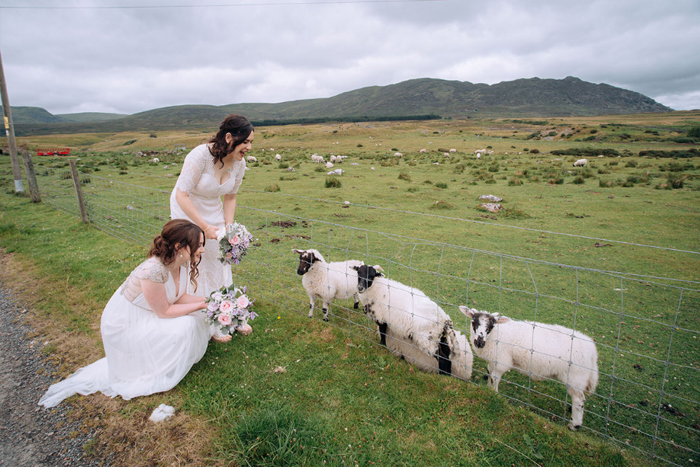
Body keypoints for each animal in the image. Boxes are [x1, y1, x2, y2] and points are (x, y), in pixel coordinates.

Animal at [460, 308, 600, 432]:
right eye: (473, 322)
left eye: (491, 326)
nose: (479, 343)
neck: (496, 334)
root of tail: (592, 351)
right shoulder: (493, 360)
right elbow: (489, 374)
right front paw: (487, 389)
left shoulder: (502, 361)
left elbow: (495, 378)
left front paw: (494, 394)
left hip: (575, 377)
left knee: (579, 399)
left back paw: (574, 425)